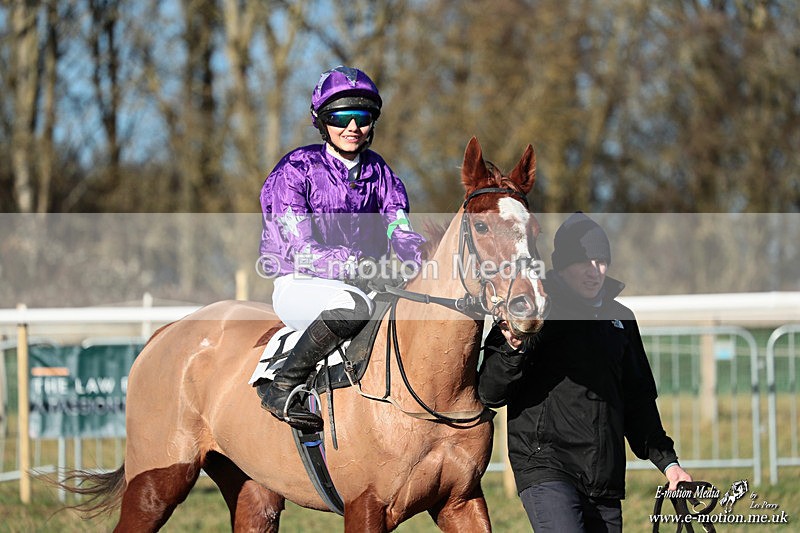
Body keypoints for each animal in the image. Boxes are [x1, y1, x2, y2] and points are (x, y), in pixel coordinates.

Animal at [63, 137, 548, 532]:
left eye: (534, 228)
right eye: (481, 226)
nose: (529, 305)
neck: (430, 388)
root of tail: (166, 332)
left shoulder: (461, 502)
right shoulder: (366, 506)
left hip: (252, 486)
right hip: (158, 479)